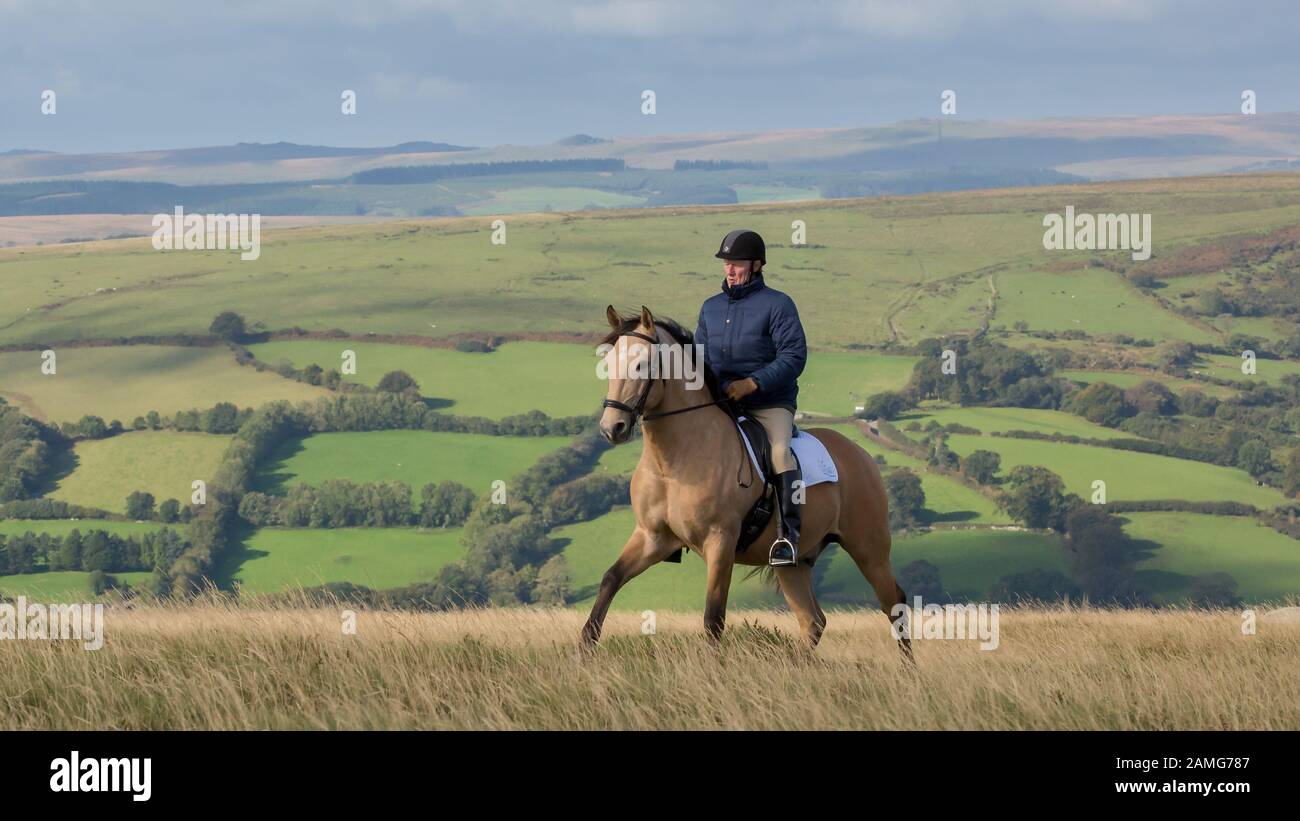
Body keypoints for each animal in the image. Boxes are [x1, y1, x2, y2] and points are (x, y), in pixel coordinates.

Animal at [580, 304, 912, 661]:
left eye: (642, 364)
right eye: (608, 365)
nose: (612, 427)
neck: (675, 462)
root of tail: (859, 454)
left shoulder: (720, 541)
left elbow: (713, 617)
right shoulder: (652, 538)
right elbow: (610, 580)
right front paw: (583, 649)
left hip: (868, 548)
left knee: (893, 603)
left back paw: (907, 669)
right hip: (792, 563)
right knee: (813, 621)